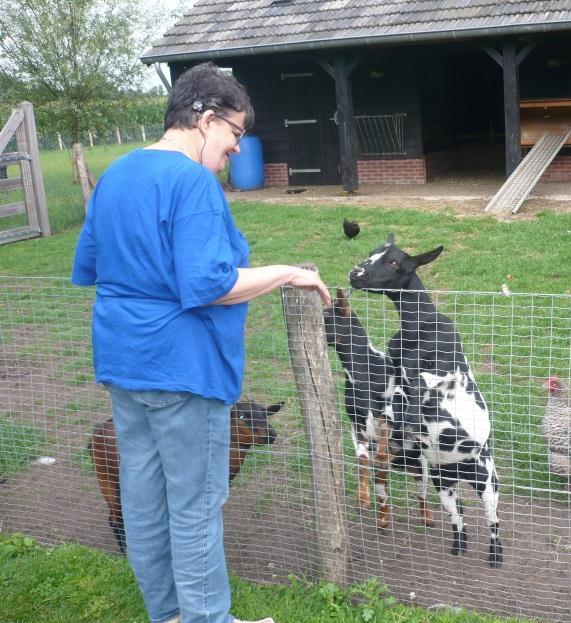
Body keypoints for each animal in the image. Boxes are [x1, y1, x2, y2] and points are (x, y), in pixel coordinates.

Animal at [89, 402, 284, 552]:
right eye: (242, 416)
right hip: (107, 479)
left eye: (266, 414)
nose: (271, 435)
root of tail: (96, 433)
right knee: (115, 520)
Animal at [322, 290, 434, 528]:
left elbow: (385, 427)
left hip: (421, 466)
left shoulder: (395, 405)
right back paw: (382, 518)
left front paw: (383, 453)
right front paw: (362, 498)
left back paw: (427, 517)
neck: (364, 373)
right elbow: (362, 461)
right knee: (382, 489)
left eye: (326, 315)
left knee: (421, 493)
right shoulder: (357, 425)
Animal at [348, 235, 504, 572]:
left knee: (494, 519)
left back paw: (496, 556)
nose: (355, 274)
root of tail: (460, 471)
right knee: (459, 513)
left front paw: (404, 430)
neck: (419, 326)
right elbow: (393, 398)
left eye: (394, 261)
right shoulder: (396, 374)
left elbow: (419, 390)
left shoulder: (440, 373)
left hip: (487, 481)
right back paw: (459, 546)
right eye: (372, 252)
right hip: (442, 482)